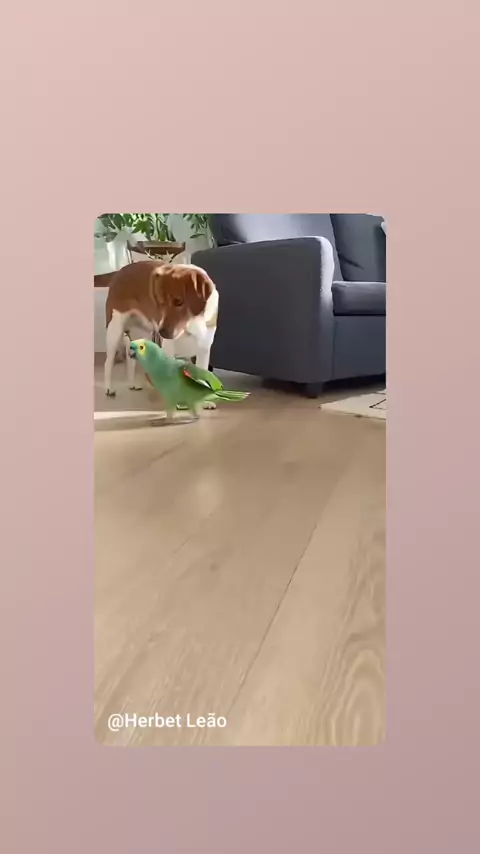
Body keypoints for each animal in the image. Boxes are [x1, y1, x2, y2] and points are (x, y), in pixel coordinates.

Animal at [103, 259, 218, 400]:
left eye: (179, 302)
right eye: (160, 303)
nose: (161, 332)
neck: (191, 325)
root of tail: (120, 271)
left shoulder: (204, 350)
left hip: (140, 335)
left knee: (131, 360)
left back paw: (132, 384)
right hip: (114, 329)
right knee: (108, 363)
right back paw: (109, 388)